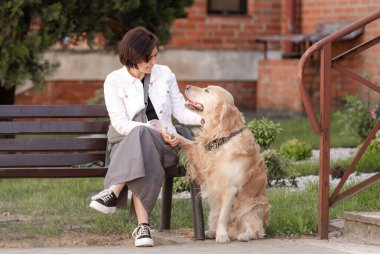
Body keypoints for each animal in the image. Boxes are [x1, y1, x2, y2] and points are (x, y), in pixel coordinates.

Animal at [180, 85, 268, 242]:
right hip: (213, 212)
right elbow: (187, 142)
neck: (221, 137)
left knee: (258, 231)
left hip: (253, 207)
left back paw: (244, 235)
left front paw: (222, 235)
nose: (187, 86)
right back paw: (210, 232)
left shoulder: (230, 188)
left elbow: (223, 216)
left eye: (207, 91)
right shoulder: (201, 166)